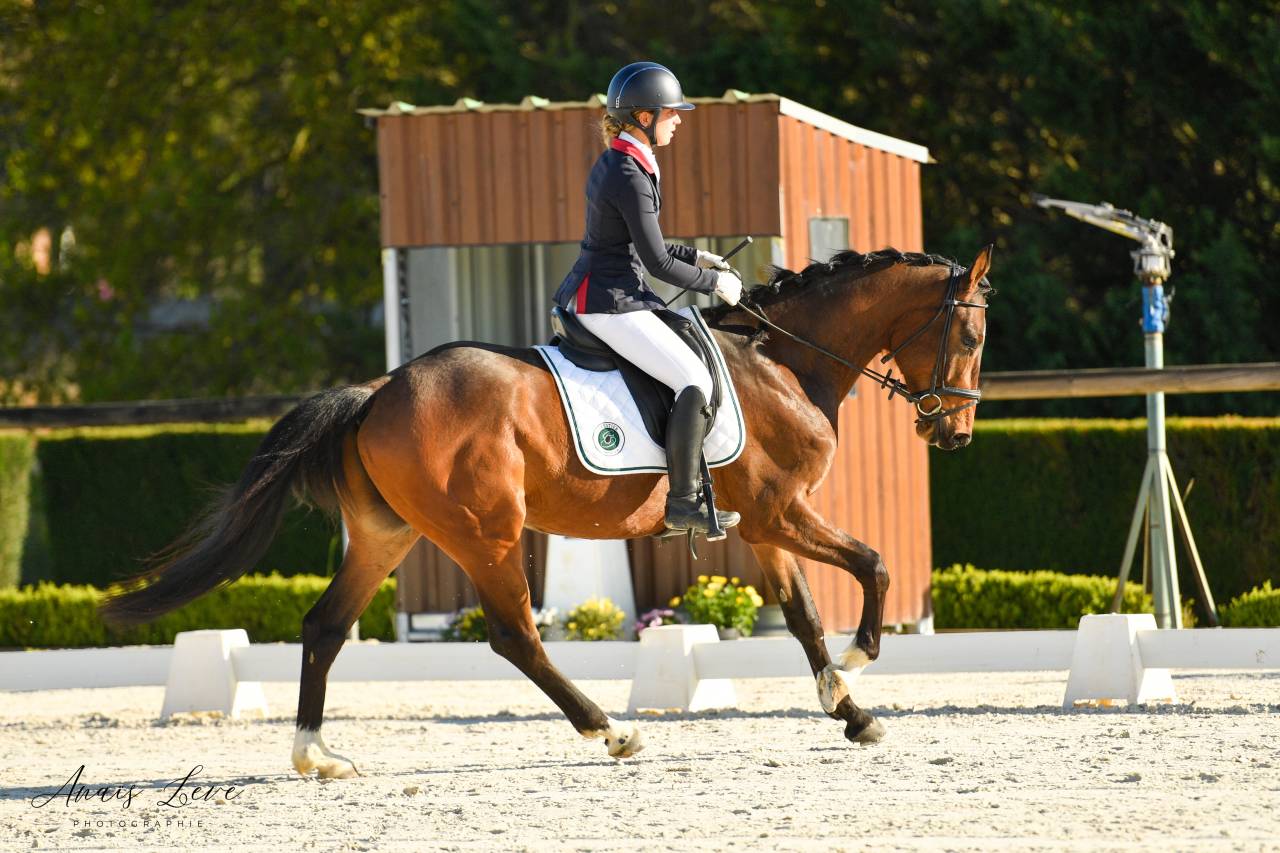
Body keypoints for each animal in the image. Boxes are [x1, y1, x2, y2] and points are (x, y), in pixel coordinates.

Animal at [100, 244, 994, 779]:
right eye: (973, 337)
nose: (953, 432)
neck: (784, 361)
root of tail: (377, 391)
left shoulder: (766, 524)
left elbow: (804, 615)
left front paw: (852, 711)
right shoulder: (782, 512)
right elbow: (873, 564)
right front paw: (858, 663)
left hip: (390, 536)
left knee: (325, 626)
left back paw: (317, 753)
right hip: (485, 532)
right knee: (515, 635)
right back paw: (613, 730)